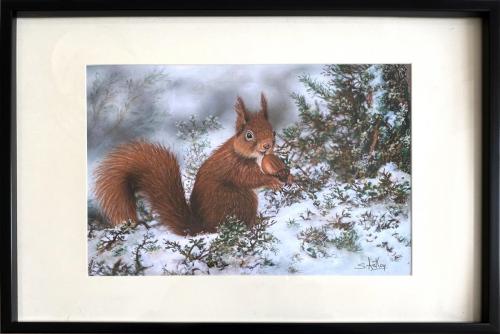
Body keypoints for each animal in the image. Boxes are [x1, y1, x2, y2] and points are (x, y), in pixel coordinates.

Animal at [94, 93, 292, 235]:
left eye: (273, 132)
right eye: (249, 135)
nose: (267, 146)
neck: (250, 155)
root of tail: (202, 227)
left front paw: (288, 175)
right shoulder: (236, 167)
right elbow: (250, 178)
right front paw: (272, 181)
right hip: (240, 199)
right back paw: (256, 223)